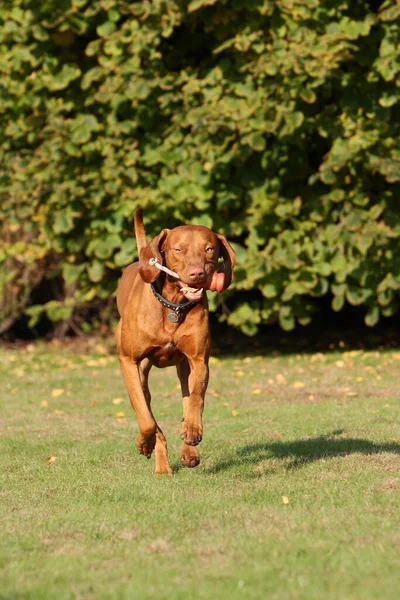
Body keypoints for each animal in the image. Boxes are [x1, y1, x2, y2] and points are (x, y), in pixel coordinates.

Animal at [114, 209, 236, 476]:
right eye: (178, 250)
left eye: (209, 249)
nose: (197, 274)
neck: (173, 306)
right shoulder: (129, 361)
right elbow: (147, 420)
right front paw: (144, 443)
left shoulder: (198, 361)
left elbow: (195, 398)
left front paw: (192, 432)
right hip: (140, 373)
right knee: (147, 411)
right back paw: (160, 464)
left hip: (182, 368)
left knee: (186, 399)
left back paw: (188, 451)